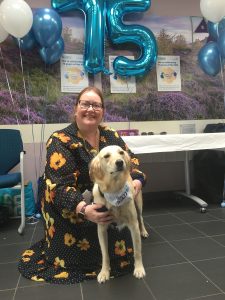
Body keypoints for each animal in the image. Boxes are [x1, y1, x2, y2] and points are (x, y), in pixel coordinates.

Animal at [89, 145, 149, 284]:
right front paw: (104, 272)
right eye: (106, 156)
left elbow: (137, 251)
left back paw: (144, 231)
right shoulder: (101, 227)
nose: (120, 162)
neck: (114, 190)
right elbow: (105, 254)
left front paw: (139, 269)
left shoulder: (133, 225)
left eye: (121, 152)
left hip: (138, 204)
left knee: (141, 218)